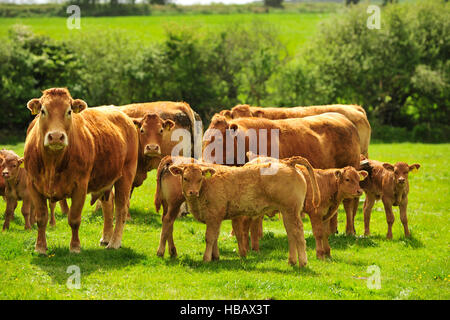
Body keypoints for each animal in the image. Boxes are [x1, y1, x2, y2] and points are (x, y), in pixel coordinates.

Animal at [24, 87, 137, 252]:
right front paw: (40, 247)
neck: (53, 163)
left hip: (126, 174)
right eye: (43, 111)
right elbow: (41, 218)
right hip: (106, 179)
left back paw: (114, 242)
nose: (56, 136)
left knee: (121, 208)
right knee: (108, 206)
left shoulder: (80, 186)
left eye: (69, 111)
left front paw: (75, 247)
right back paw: (106, 237)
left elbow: (74, 218)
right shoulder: (33, 185)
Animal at [167, 160, 314, 268]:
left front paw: (206, 258)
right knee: (291, 234)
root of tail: (288, 163)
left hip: (291, 211)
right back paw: (292, 261)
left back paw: (302, 262)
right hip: (287, 212)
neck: (206, 186)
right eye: (185, 178)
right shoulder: (216, 218)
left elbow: (209, 238)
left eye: (199, 179)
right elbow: (215, 237)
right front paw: (215, 257)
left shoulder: (213, 217)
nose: (193, 192)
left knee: (298, 233)